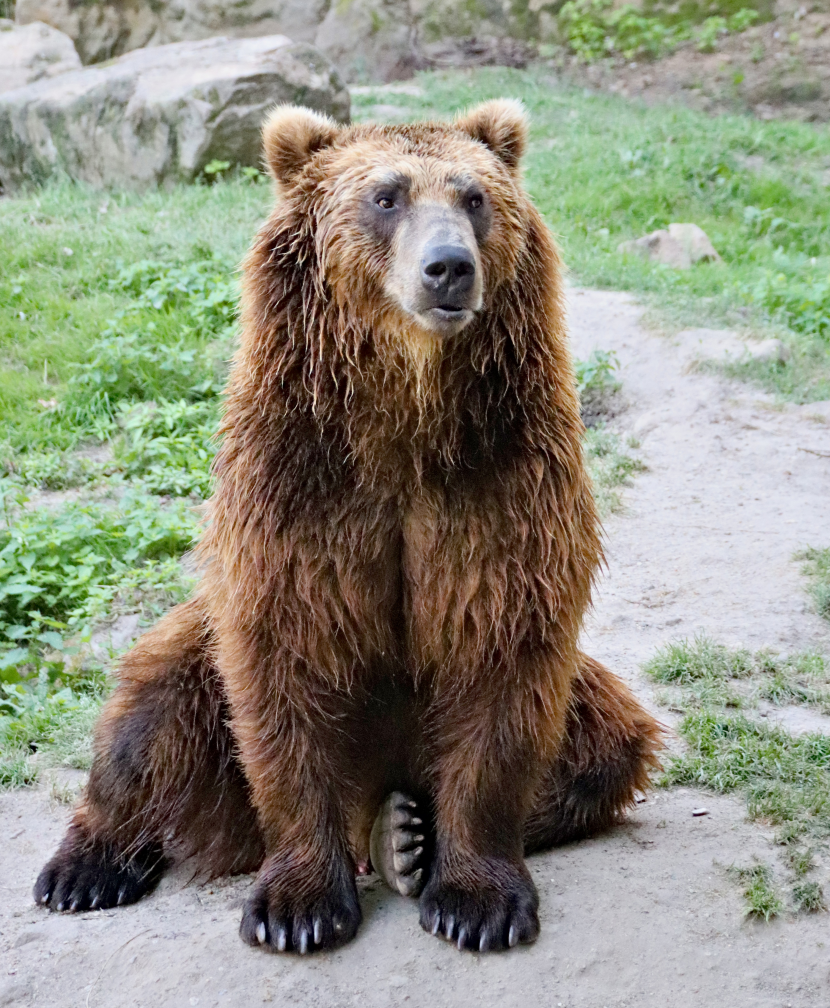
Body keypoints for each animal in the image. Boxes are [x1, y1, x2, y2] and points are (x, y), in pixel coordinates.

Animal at [34, 98, 661, 955]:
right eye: (386, 196)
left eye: (473, 196)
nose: (448, 267)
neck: (405, 416)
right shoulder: (300, 489)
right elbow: (288, 664)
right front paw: (298, 909)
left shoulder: (500, 482)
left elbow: (501, 659)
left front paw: (477, 903)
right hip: (198, 653)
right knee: (146, 716)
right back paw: (85, 868)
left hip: (580, 700)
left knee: (607, 744)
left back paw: (403, 837)